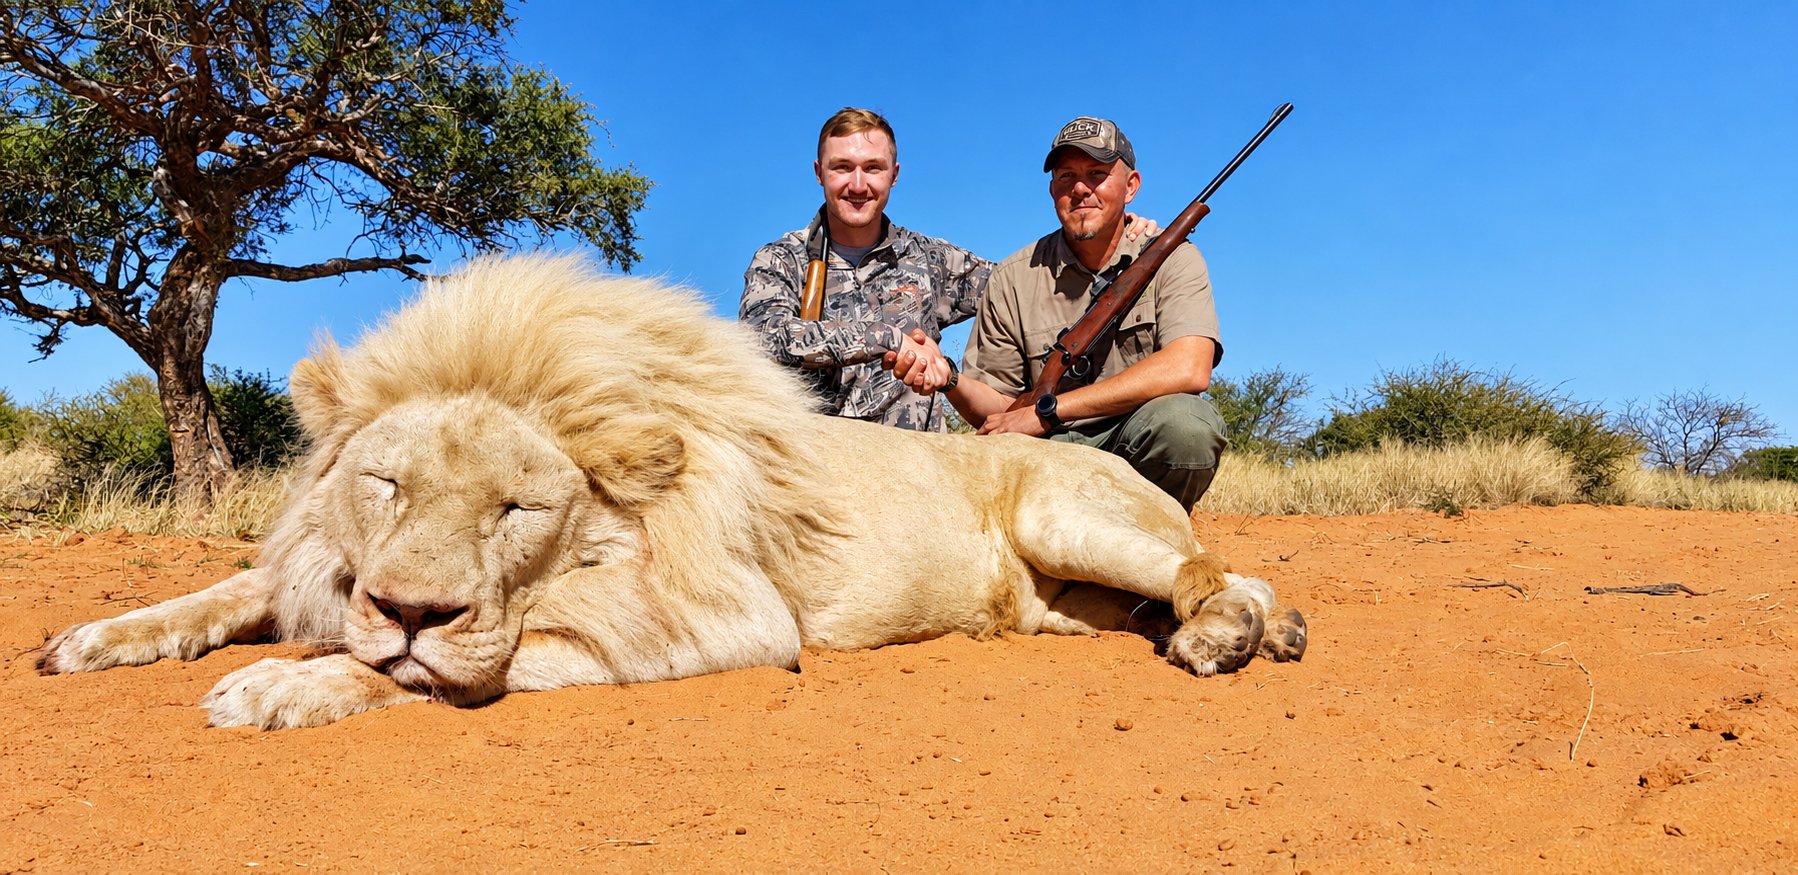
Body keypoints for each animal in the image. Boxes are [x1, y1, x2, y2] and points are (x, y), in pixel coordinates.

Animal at [38, 255, 1306, 729]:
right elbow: (223, 592)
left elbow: (451, 663)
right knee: (1216, 572)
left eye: (517, 509)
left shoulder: (731, 621)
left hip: (1061, 506)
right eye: (386, 484)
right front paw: (93, 637)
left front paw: (285, 682)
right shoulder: (321, 565)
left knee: (1202, 566)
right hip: (1064, 596)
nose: (406, 605)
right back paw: (1267, 624)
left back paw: (1228, 639)